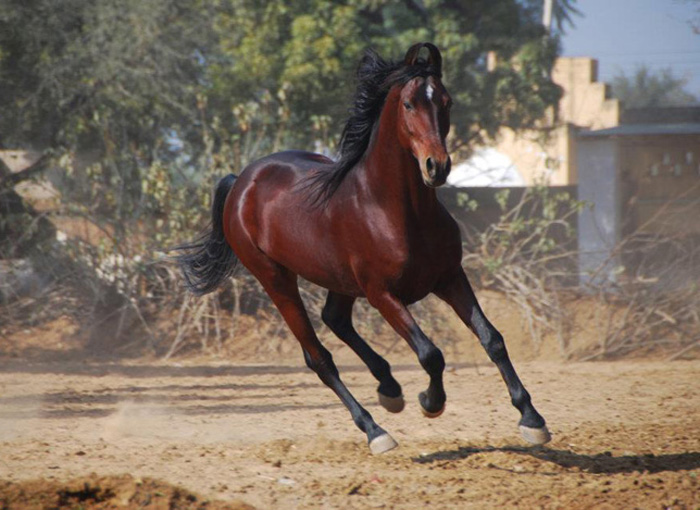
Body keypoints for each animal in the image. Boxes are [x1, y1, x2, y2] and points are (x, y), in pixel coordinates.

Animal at [175, 41, 548, 452]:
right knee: (319, 358)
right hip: (275, 279)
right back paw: (376, 430)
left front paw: (532, 419)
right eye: (409, 104)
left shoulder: (450, 278)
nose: (437, 167)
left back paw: (389, 389)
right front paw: (430, 402)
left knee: (335, 319)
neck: (397, 211)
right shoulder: (382, 294)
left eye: (447, 101)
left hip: (339, 279)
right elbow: (430, 353)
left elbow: (492, 339)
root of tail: (241, 180)